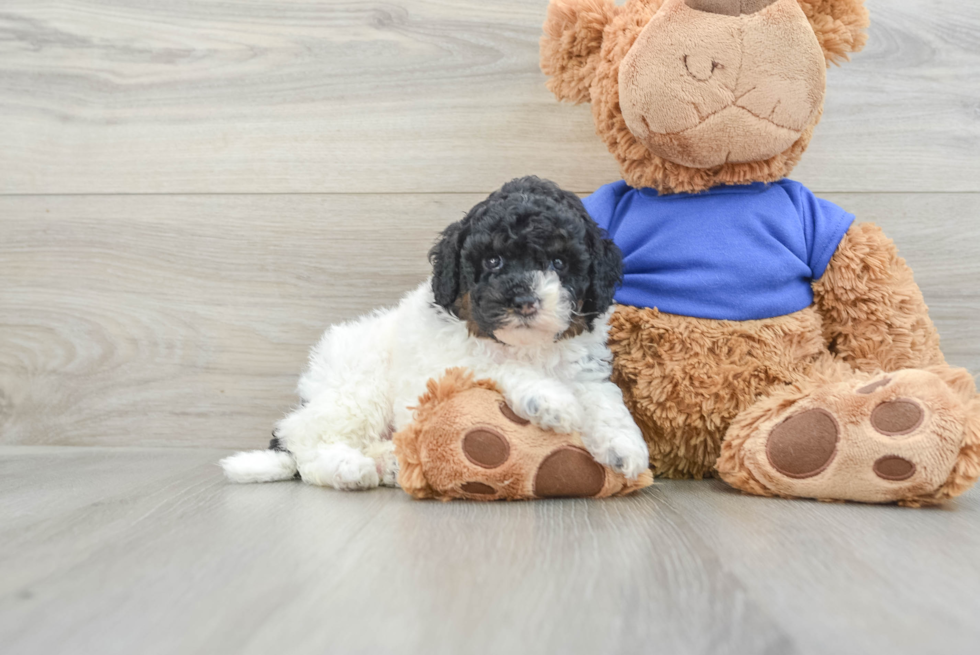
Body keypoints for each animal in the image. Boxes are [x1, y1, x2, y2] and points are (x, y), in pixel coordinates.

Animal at [222, 177, 652, 490]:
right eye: (492, 261)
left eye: (559, 263)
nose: (523, 300)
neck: (530, 347)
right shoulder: (450, 363)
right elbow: (499, 366)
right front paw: (550, 400)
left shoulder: (585, 367)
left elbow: (605, 400)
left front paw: (625, 447)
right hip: (356, 390)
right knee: (306, 440)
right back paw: (349, 468)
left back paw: (389, 463)